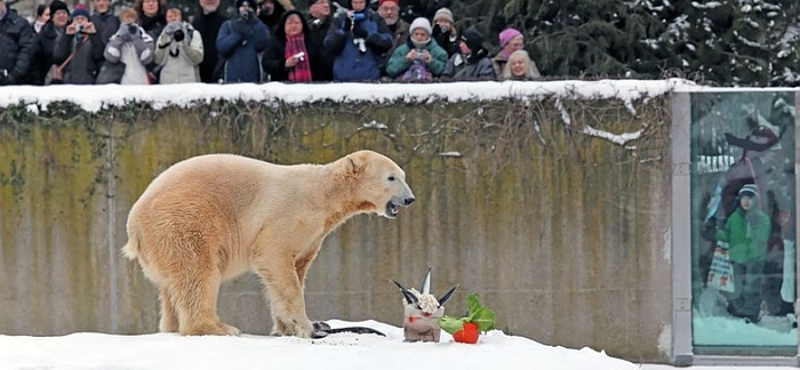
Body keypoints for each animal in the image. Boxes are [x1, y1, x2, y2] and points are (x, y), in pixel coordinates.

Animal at [123, 150, 418, 338]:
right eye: (392, 177)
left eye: (403, 175)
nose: (410, 199)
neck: (325, 192)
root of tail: (135, 224)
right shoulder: (293, 214)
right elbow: (275, 258)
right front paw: (307, 327)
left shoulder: (315, 233)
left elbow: (295, 268)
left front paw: (293, 326)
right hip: (185, 223)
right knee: (198, 274)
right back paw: (217, 327)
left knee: (172, 286)